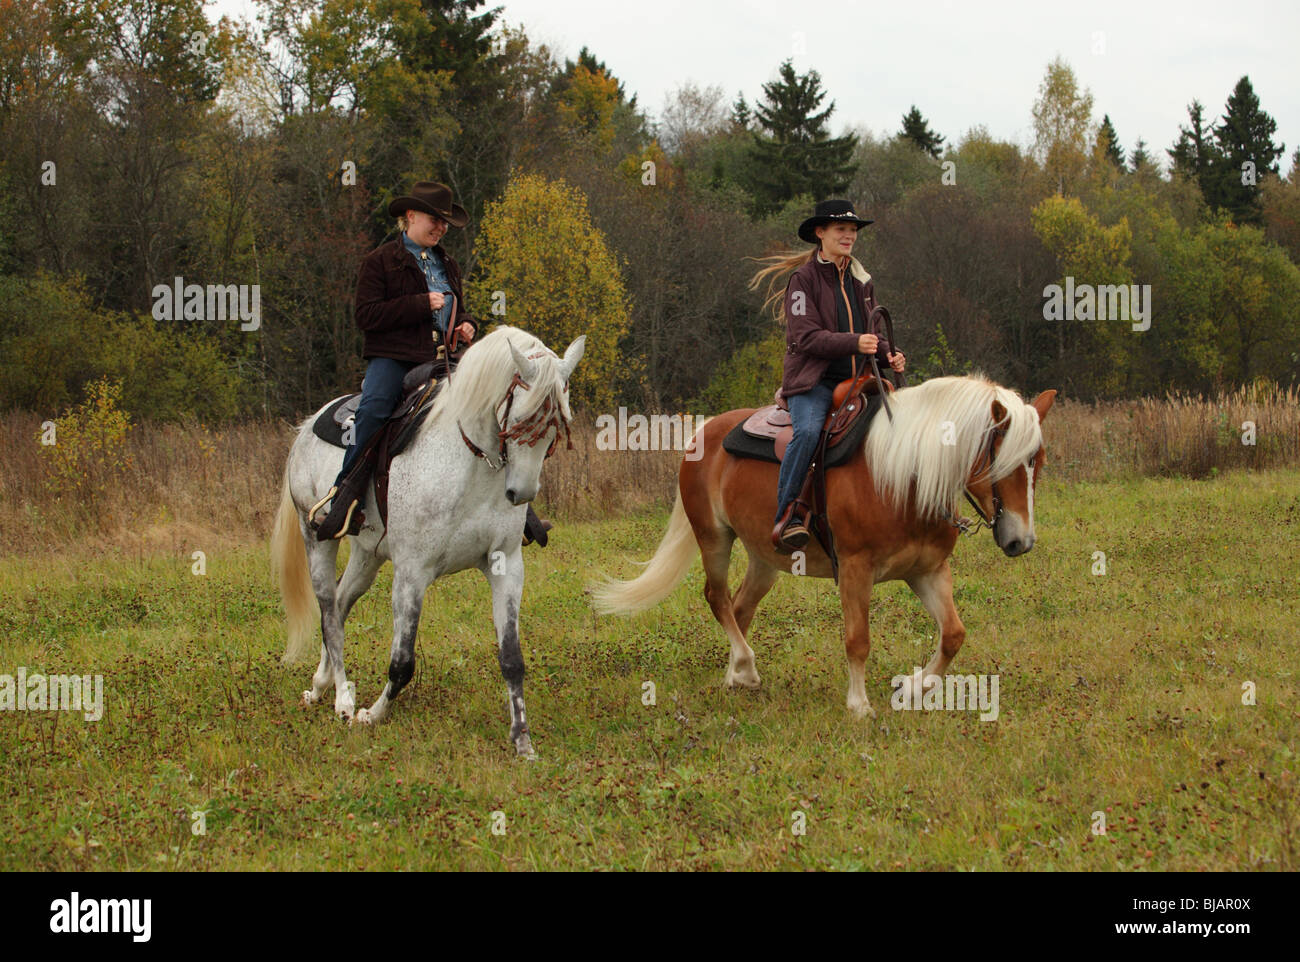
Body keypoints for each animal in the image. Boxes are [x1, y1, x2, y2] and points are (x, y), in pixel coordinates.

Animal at [269, 326, 585, 754]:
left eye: (558, 425)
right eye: (520, 421)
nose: (520, 494)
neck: (470, 464)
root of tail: (307, 426)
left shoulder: (506, 566)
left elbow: (512, 657)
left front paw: (522, 741)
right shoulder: (411, 574)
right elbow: (402, 662)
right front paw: (373, 714)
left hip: (368, 554)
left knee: (339, 601)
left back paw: (321, 686)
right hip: (316, 537)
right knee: (328, 610)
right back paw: (343, 700)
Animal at [595, 377, 1060, 712]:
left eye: (1038, 462)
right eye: (1002, 462)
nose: (1021, 541)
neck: (902, 474)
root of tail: (702, 432)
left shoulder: (927, 571)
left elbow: (953, 635)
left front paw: (910, 690)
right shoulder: (854, 569)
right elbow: (857, 639)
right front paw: (859, 705)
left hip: (765, 556)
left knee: (740, 607)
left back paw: (736, 676)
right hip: (714, 537)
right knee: (717, 597)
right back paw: (746, 666)